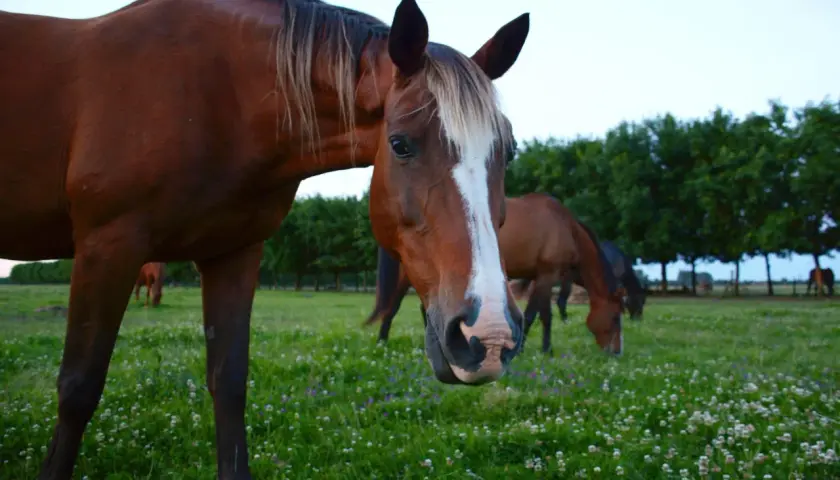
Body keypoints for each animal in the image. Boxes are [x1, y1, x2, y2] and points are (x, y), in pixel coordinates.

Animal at [0, 1, 531, 478]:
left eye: (509, 150)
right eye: (400, 144)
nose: (488, 336)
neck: (217, 96)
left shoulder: (234, 253)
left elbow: (229, 384)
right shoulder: (107, 246)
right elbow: (78, 389)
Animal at [365, 193, 625, 356]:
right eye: (615, 318)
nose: (616, 352)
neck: (565, 226)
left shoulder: (540, 277)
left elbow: (539, 313)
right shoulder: (547, 275)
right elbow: (538, 315)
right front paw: (534, 349)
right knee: (392, 307)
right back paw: (382, 343)